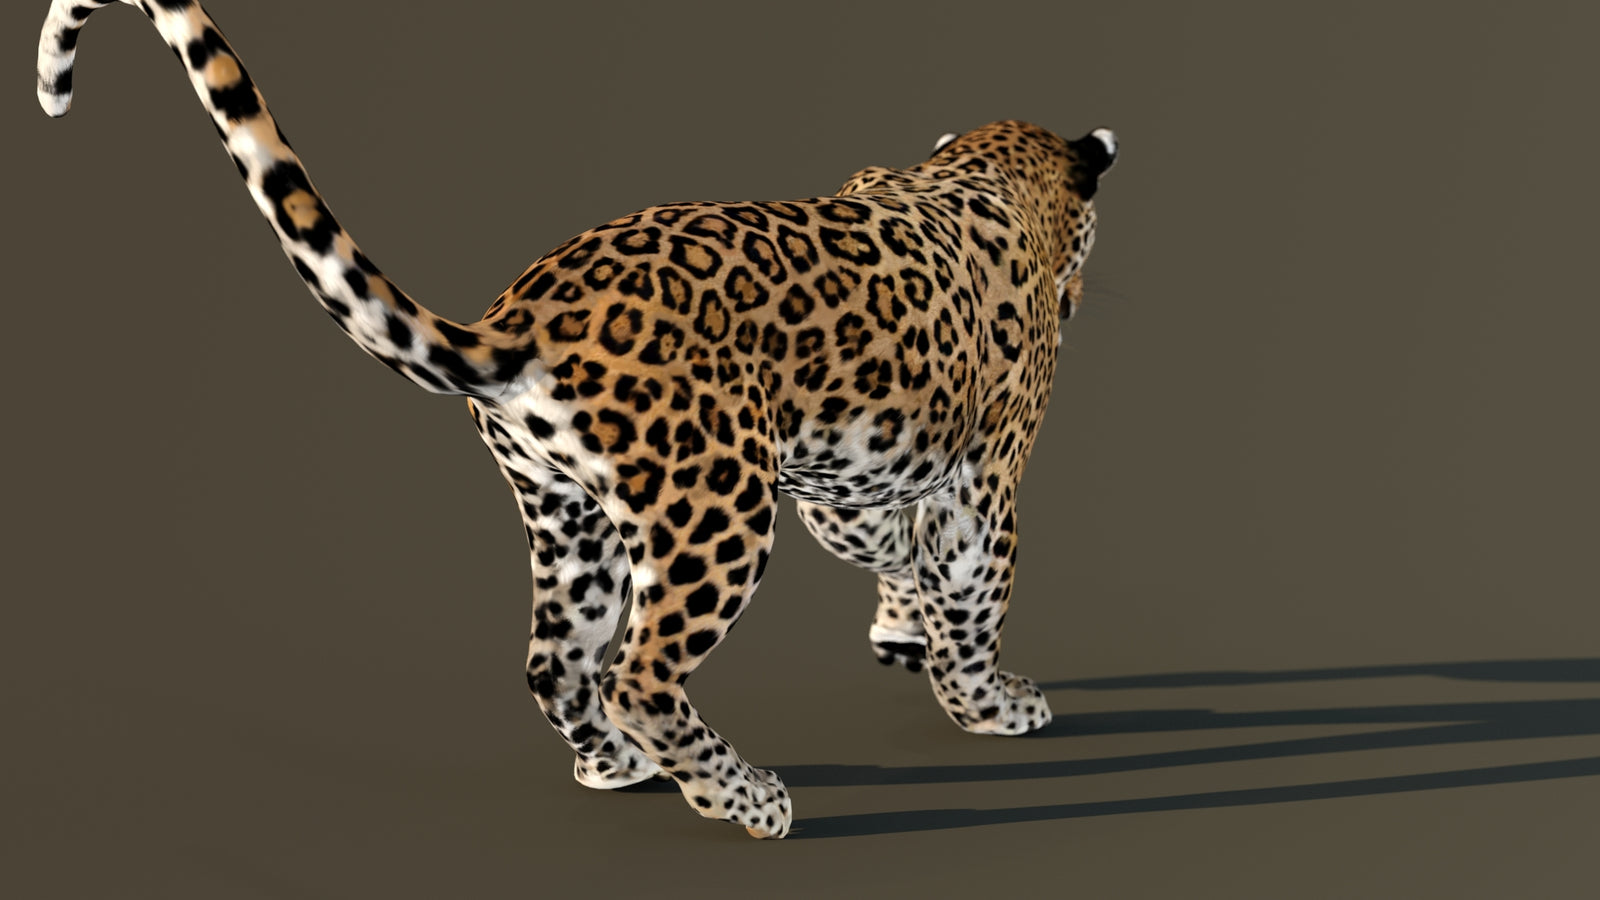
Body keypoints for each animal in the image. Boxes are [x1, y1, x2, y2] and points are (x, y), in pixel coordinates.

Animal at [36, 0, 1117, 839]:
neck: (986, 178)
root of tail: (519, 321)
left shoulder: (847, 476)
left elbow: (891, 548)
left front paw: (902, 628)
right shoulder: (979, 486)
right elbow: (971, 595)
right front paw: (989, 703)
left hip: (571, 517)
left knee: (554, 665)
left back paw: (616, 767)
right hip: (715, 508)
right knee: (639, 671)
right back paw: (748, 800)